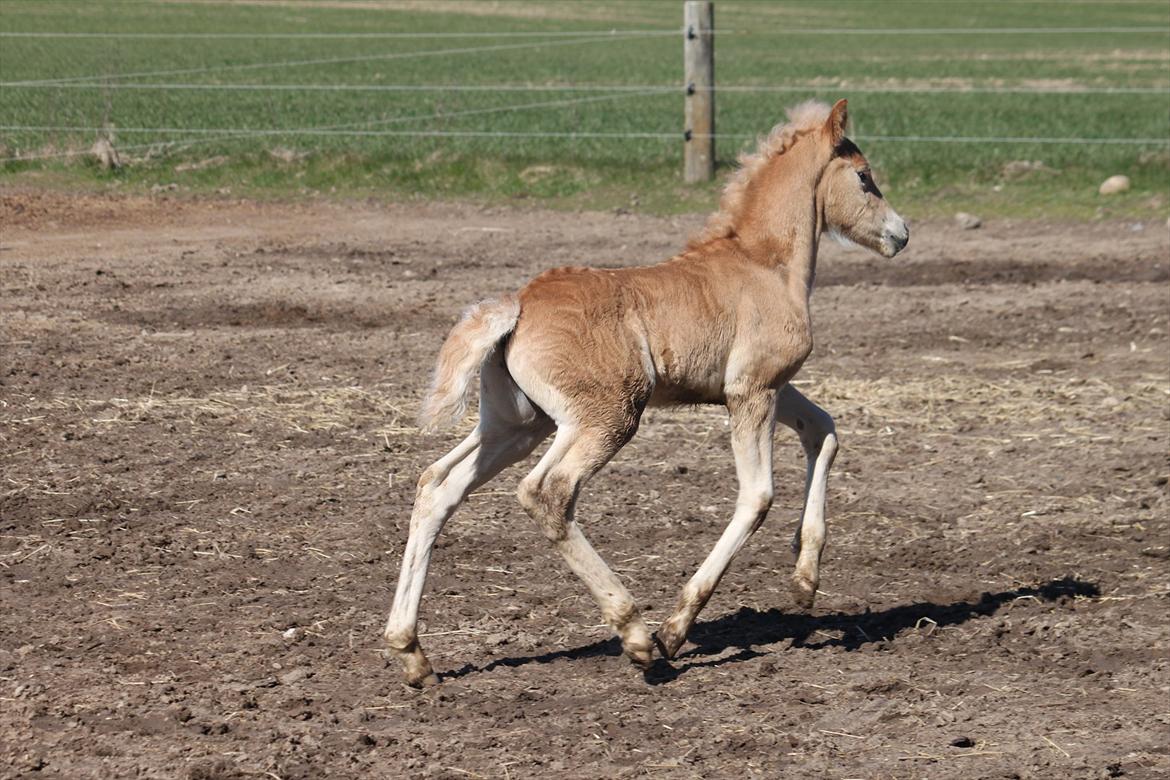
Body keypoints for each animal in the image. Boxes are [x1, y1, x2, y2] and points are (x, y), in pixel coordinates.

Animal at [381, 99, 903, 687]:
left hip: (517, 424)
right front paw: (676, 629)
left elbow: (825, 431)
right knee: (546, 491)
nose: (901, 234)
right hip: (606, 417)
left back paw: (412, 653)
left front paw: (805, 579)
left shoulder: (766, 386)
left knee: (436, 487)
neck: (763, 263)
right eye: (864, 177)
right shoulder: (752, 391)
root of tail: (517, 303)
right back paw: (636, 635)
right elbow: (757, 496)